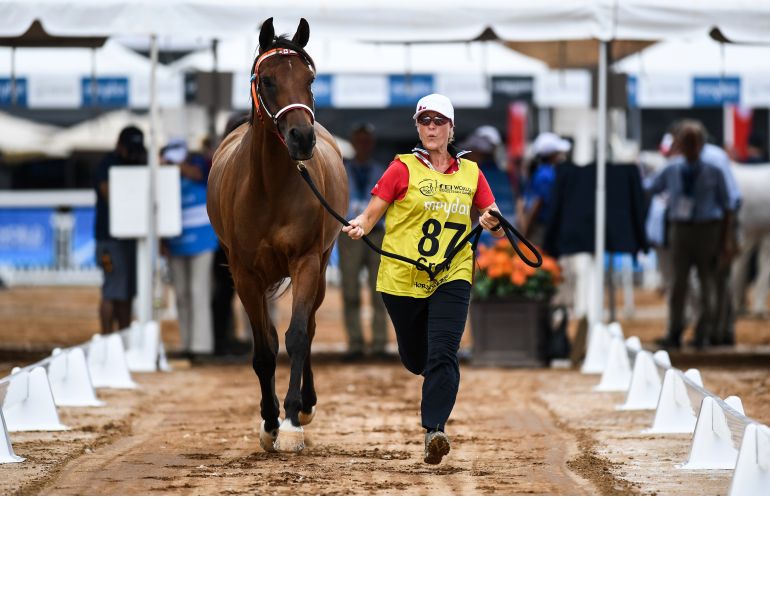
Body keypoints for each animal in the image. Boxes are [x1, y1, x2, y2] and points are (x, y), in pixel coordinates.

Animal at [207, 17, 348, 453]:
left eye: (310, 79)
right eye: (267, 79)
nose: (303, 138)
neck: (269, 187)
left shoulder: (306, 263)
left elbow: (298, 336)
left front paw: (290, 421)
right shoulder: (245, 275)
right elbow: (264, 349)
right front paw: (269, 422)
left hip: (321, 269)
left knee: (311, 328)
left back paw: (306, 403)